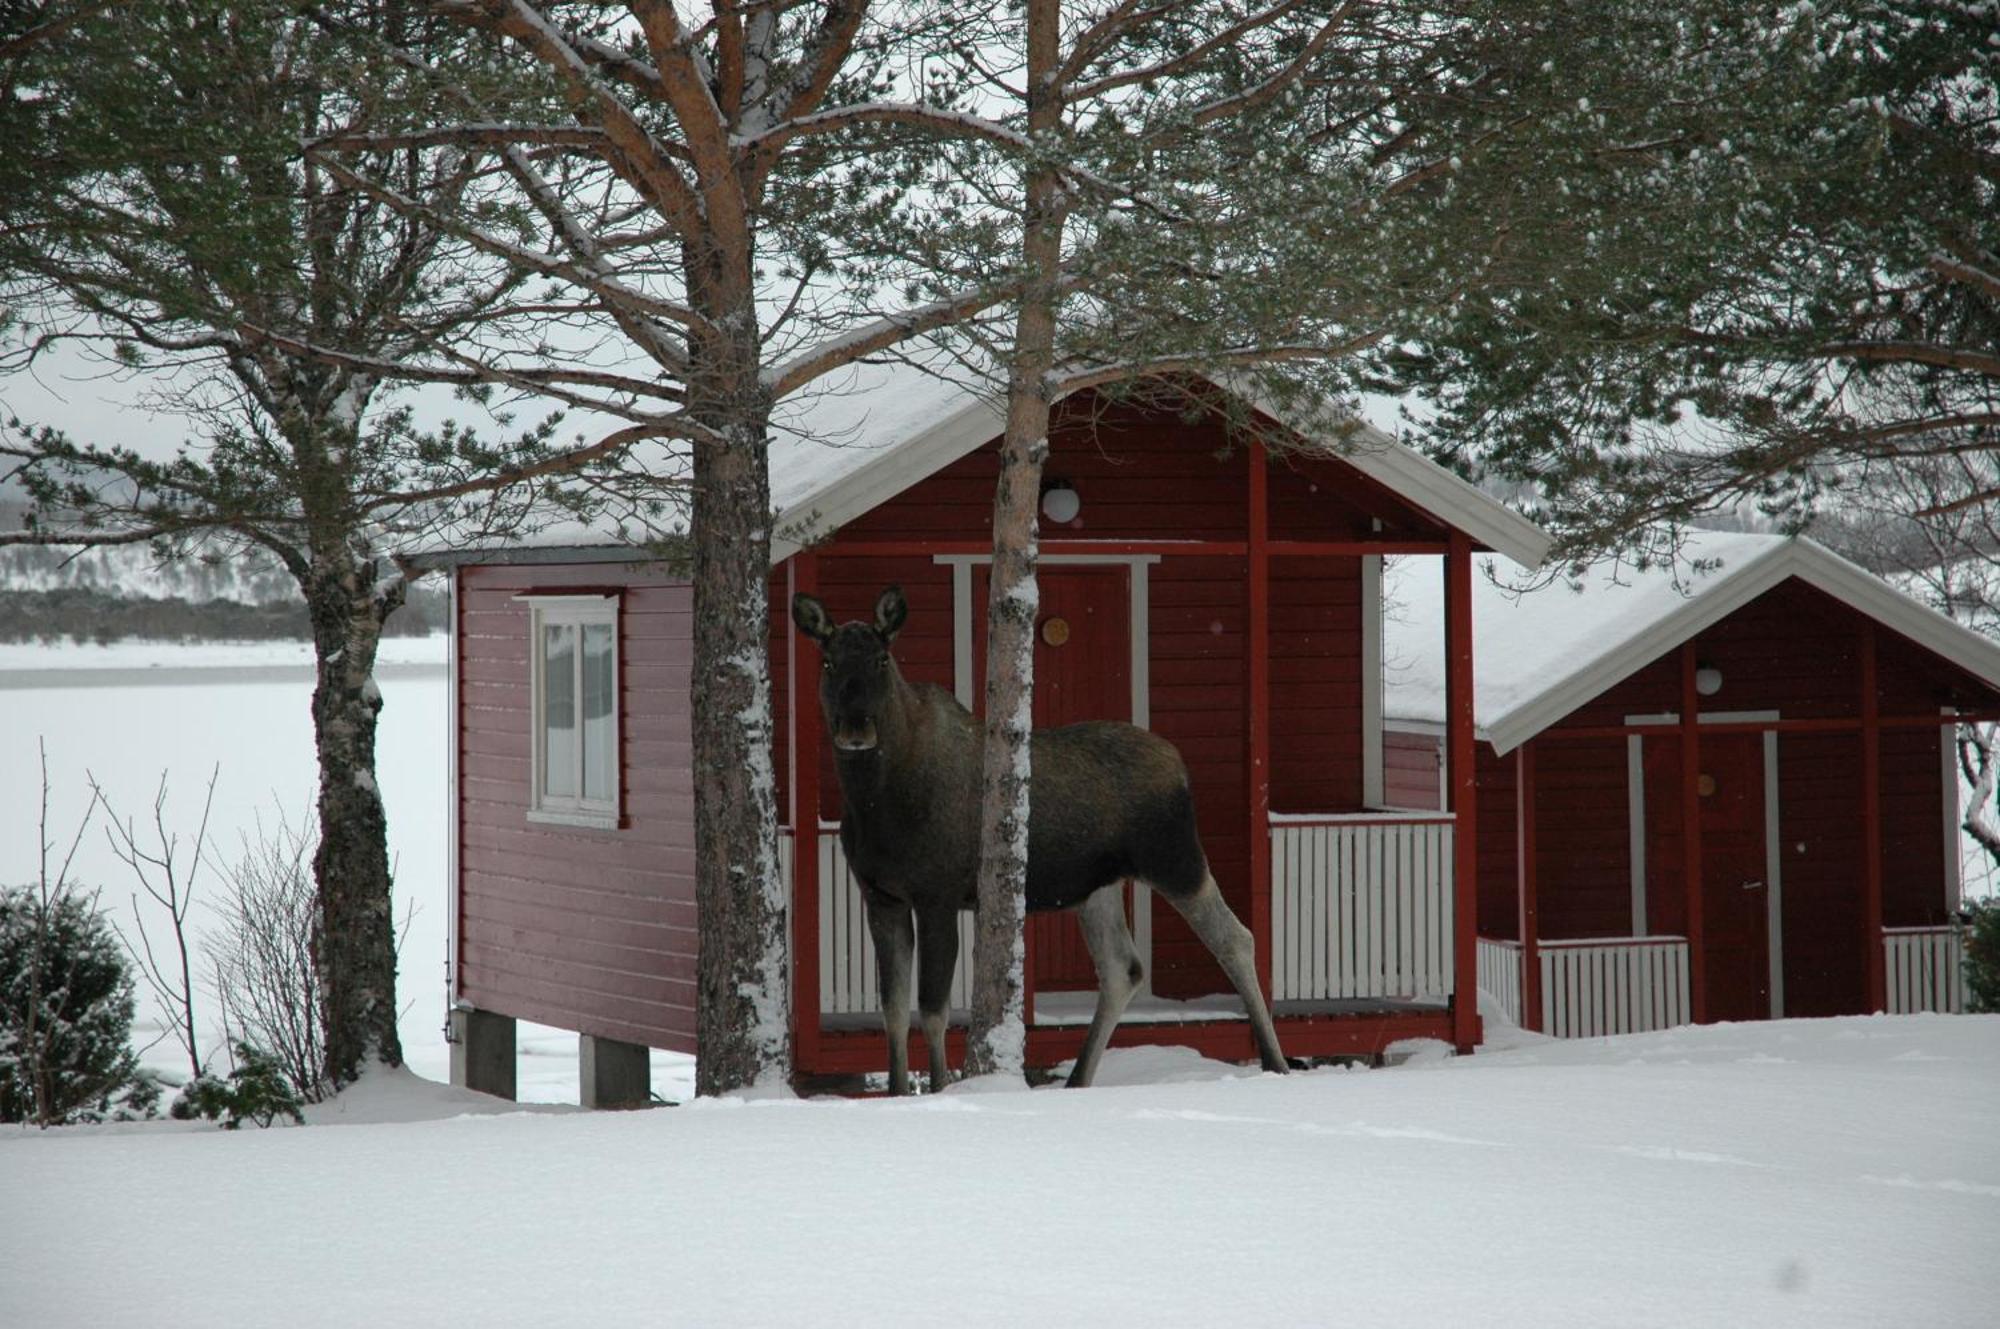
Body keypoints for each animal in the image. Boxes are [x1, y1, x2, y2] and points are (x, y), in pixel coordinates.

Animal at [788, 580, 1288, 1088]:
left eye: (881, 659)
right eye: (827, 661)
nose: (855, 726)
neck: (875, 800)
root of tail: (1181, 766)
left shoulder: (936, 895)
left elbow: (932, 1009)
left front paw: (941, 1086)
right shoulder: (880, 896)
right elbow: (892, 1009)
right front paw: (897, 1090)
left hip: (1175, 859)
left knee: (1235, 938)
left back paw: (1276, 1061)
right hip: (1099, 887)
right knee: (1123, 968)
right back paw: (1078, 1079)